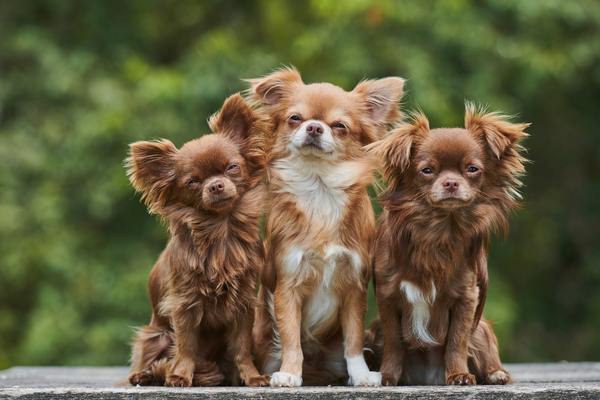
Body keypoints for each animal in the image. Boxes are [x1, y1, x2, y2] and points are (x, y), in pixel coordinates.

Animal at [126, 94, 270, 388]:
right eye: (193, 182)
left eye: (232, 167)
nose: (215, 185)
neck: (221, 231)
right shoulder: (184, 304)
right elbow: (186, 346)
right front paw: (180, 375)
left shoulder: (243, 303)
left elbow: (241, 347)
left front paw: (251, 376)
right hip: (154, 335)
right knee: (150, 356)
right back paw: (145, 374)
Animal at [246, 67, 406, 386]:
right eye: (295, 118)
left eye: (340, 126)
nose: (315, 128)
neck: (319, 188)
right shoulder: (288, 285)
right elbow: (291, 337)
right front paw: (289, 373)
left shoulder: (354, 286)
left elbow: (353, 339)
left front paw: (361, 375)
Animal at [366, 104, 528, 386]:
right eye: (427, 170)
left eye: (472, 169)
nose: (451, 182)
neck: (438, 228)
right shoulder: (387, 295)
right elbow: (394, 341)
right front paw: (387, 375)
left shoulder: (466, 298)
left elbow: (457, 340)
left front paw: (459, 374)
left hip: (481, 327)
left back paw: (496, 373)